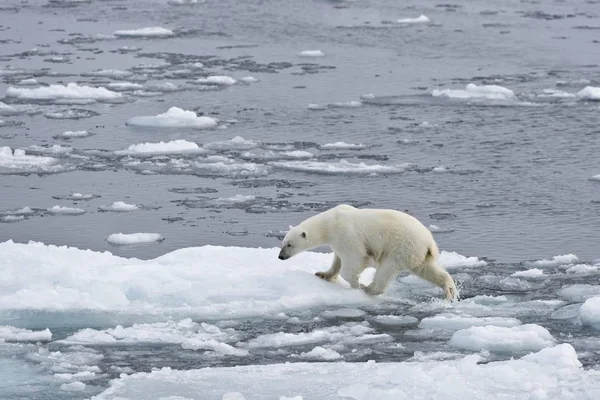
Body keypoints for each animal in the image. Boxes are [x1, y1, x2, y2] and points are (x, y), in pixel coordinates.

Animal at [278, 203, 458, 300]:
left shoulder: (346, 234)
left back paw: (368, 288)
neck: (329, 223)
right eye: (283, 242)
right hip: (417, 253)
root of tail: (430, 242)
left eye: (289, 244)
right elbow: (337, 260)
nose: (280, 257)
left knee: (385, 270)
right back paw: (450, 291)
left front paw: (355, 284)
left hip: (401, 247)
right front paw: (322, 274)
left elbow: (354, 260)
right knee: (427, 269)